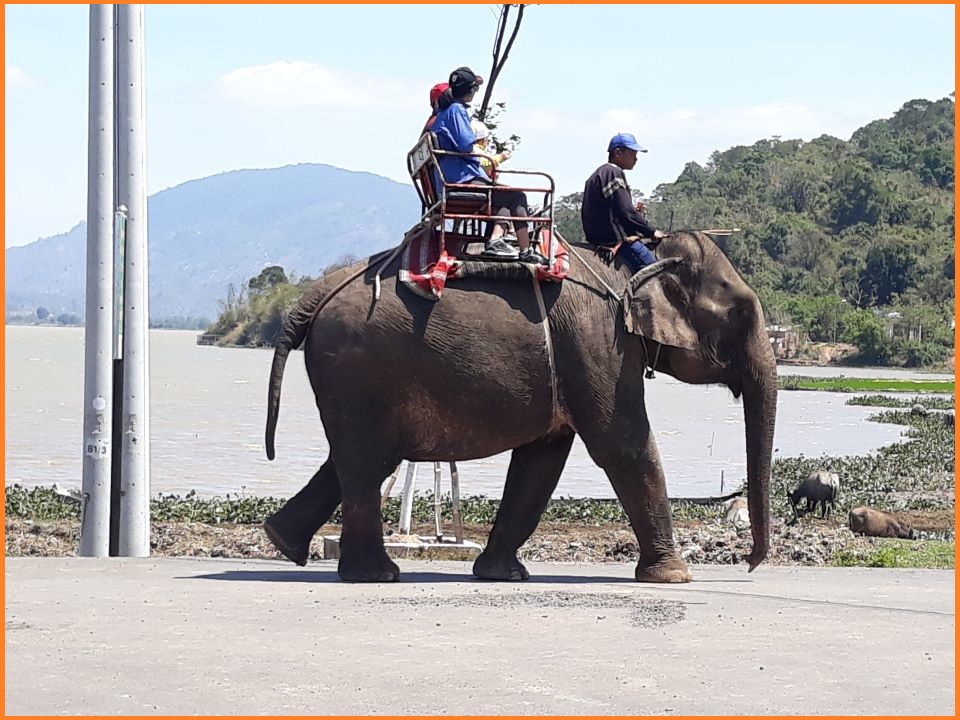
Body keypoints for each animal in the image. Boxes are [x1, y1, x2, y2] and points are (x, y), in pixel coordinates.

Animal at [264, 231, 780, 584]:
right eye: (741, 313)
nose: (751, 563)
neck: (633, 264)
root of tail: (317, 293)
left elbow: (542, 457)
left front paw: (501, 574)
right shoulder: (599, 345)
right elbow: (623, 443)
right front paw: (674, 577)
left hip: (352, 381)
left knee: (355, 459)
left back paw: (285, 542)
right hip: (358, 371)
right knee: (365, 461)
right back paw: (376, 574)